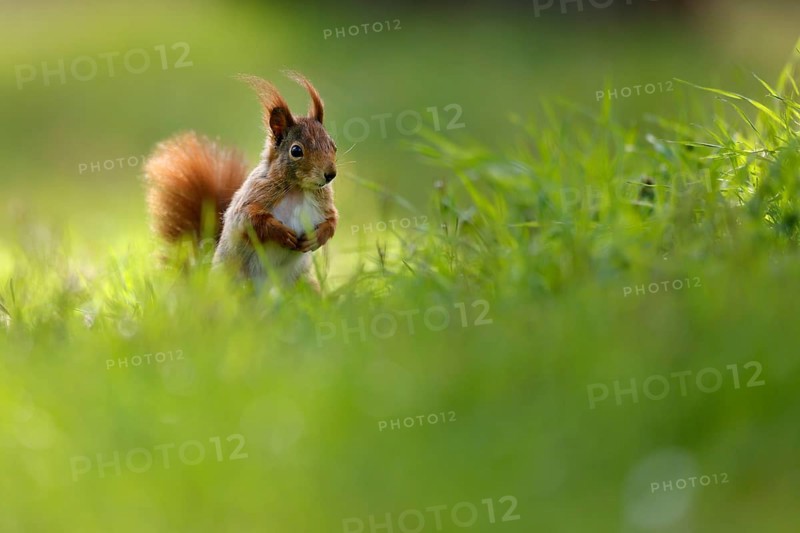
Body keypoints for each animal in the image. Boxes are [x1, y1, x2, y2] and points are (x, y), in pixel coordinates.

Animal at [144, 72, 339, 288]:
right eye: (296, 150)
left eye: (333, 145)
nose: (330, 174)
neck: (299, 190)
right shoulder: (253, 197)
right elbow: (248, 220)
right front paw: (282, 234)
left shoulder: (324, 204)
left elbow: (332, 221)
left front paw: (316, 237)